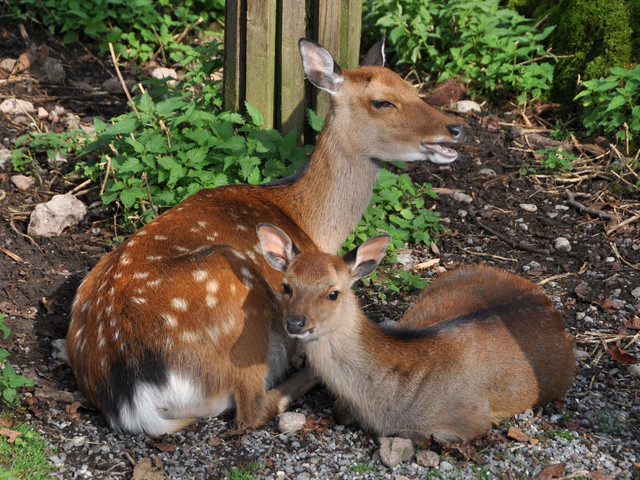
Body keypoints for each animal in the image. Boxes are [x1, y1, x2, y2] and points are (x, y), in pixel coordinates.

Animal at [65, 36, 464, 436]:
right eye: (381, 101)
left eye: (411, 87)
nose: (456, 128)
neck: (309, 220)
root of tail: (132, 395)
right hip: (240, 301)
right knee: (252, 408)